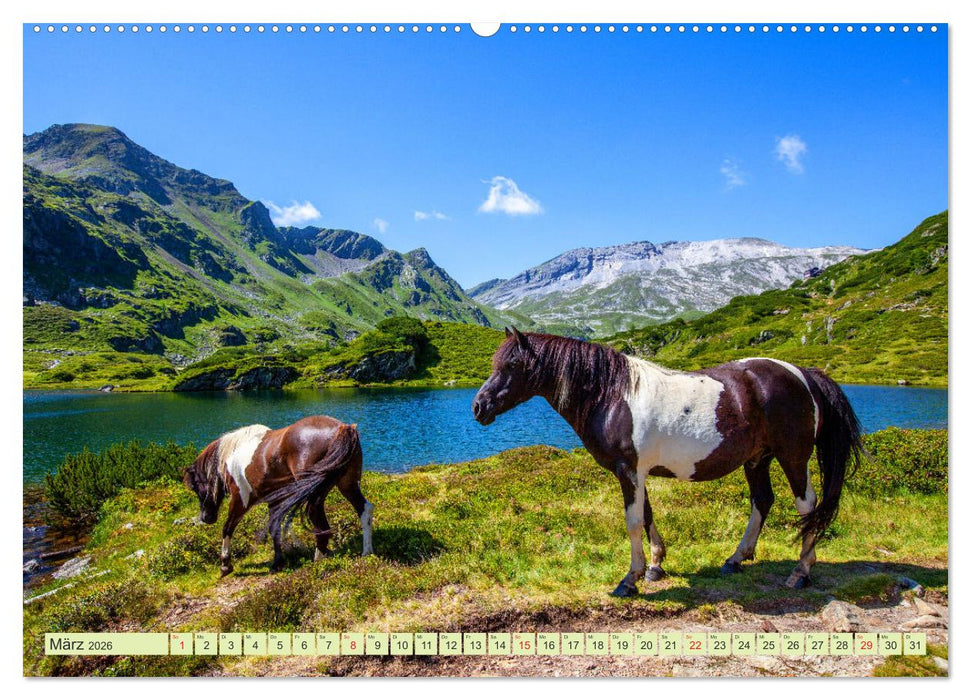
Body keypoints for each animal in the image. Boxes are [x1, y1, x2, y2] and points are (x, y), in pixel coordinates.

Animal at [182, 415, 374, 576]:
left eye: (196, 487)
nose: (206, 518)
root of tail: (344, 428)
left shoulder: (240, 499)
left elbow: (228, 527)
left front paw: (225, 565)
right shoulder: (275, 500)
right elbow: (274, 528)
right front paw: (277, 563)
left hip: (316, 494)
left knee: (320, 524)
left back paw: (318, 562)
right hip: (347, 485)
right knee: (364, 510)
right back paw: (367, 552)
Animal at [472, 328, 863, 597]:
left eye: (513, 364)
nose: (479, 406)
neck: (612, 394)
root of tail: (802, 373)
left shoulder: (629, 471)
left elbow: (633, 522)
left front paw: (629, 580)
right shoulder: (636, 472)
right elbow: (647, 516)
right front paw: (655, 566)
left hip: (792, 455)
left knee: (807, 505)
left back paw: (801, 572)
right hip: (757, 460)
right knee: (763, 501)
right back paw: (736, 559)